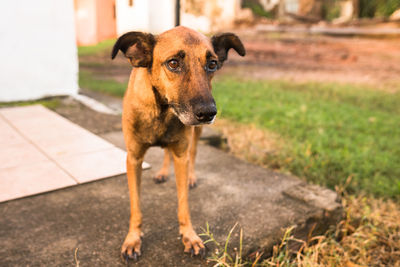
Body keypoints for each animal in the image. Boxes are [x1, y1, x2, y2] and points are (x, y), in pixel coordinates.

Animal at [111, 26, 245, 262]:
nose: (208, 113)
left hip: (195, 134)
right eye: (173, 63)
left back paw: (191, 177)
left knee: (193, 154)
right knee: (167, 153)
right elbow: (136, 207)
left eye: (212, 64)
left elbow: (184, 204)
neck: (163, 111)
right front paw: (133, 239)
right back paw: (163, 172)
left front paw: (189, 236)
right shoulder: (133, 159)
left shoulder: (181, 154)